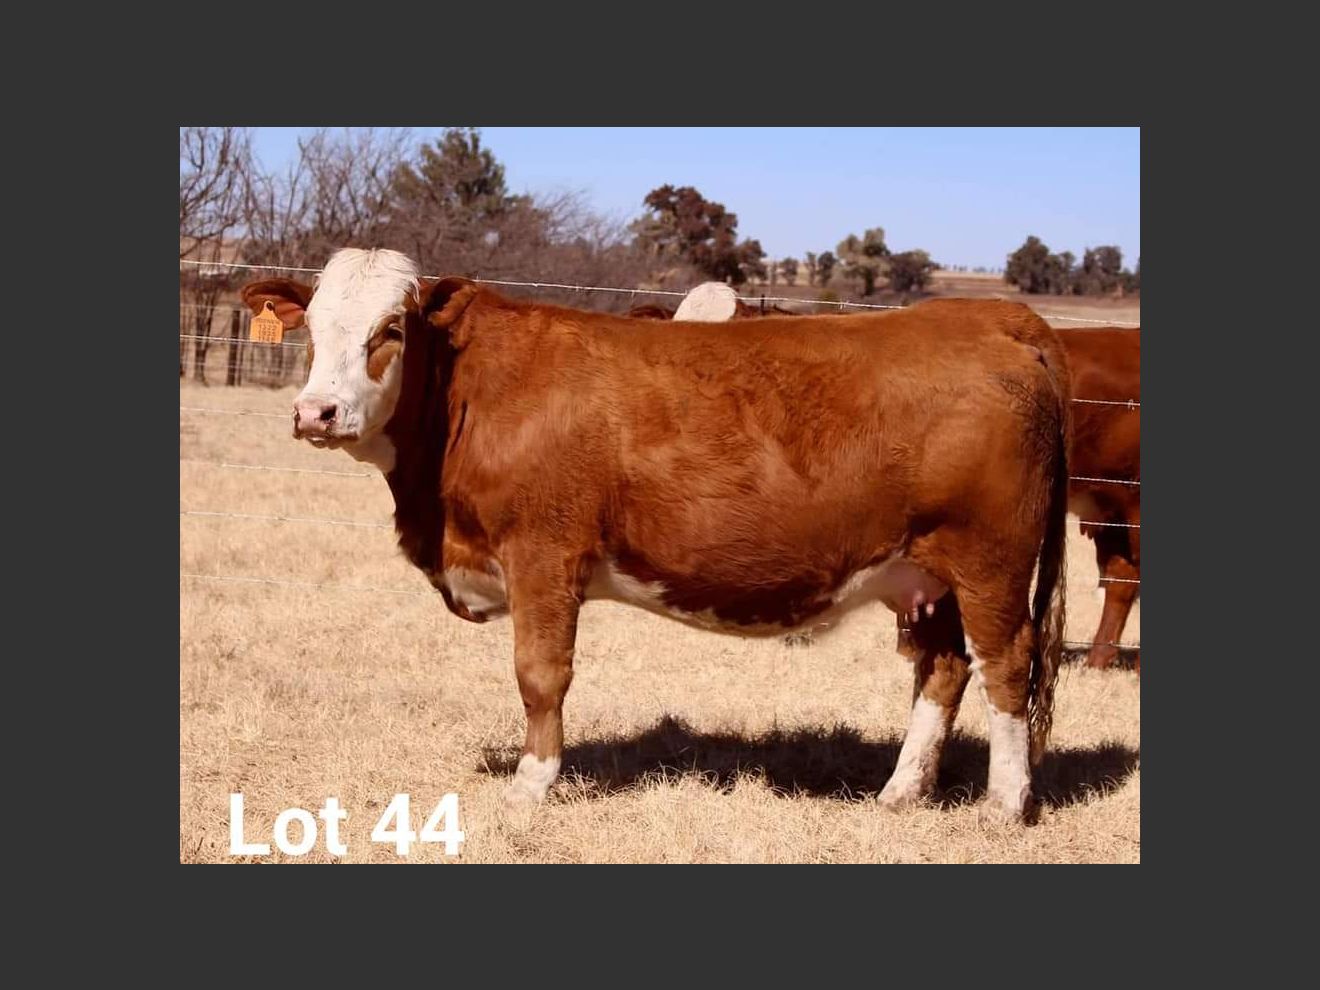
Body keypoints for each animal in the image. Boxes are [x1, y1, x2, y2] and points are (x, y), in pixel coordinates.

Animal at [241, 247, 1071, 823]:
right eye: (312, 331)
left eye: (389, 330)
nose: (315, 413)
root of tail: (988, 319)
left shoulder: (543, 554)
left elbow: (541, 676)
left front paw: (532, 786)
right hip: (925, 575)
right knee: (943, 669)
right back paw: (902, 792)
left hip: (990, 564)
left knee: (1006, 666)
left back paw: (1003, 806)